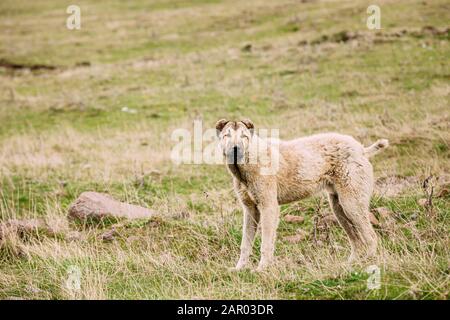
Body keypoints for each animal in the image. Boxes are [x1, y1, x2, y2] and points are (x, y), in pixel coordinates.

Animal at [216, 119, 388, 272]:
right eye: (227, 135)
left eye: (244, 136)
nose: (235, 149)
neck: (249, 160)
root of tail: (361, 148)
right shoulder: (250, 210)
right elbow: (245, 243)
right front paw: (239, 269)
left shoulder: (268, 207)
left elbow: (266, 243)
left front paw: (262, 269)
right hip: (339, 208)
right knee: (357, 241)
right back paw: (350, 265)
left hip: (352, 204)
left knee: (371, 237)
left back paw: (368, 263)